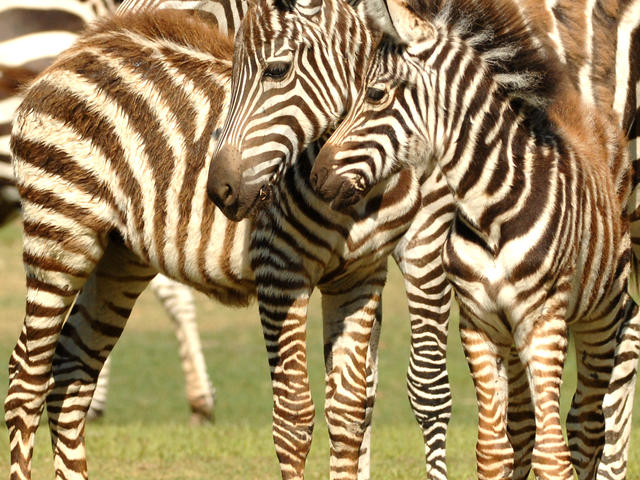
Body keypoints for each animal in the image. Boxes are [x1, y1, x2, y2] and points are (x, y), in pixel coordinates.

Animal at [207, 0, 640, 477]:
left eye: (277, 70)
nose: (220, 188)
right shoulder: (473, 316)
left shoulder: (452, 264)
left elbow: (432, 392)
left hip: (602, 299)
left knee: (598, 397)